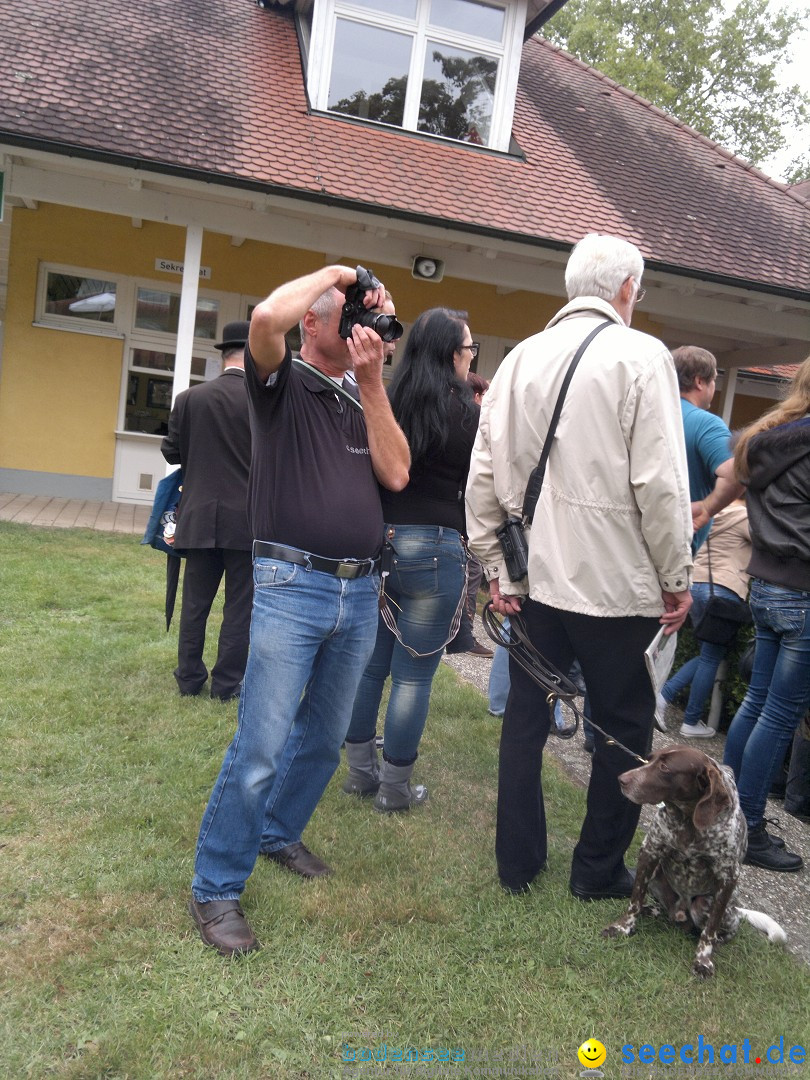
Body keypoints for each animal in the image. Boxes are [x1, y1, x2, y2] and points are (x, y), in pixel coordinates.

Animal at [604, 751, 786, 980]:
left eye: (665, 768)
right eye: (650, 758)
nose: (622, 779)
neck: (688, 818)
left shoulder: (728, 877)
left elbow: (710, 930)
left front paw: (703, 961)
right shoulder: (649, 851)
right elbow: (634, 901)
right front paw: (623, 928)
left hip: (706, 904)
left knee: (726, 926)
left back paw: (717, 939)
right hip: (656, 875)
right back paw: (653, 910)